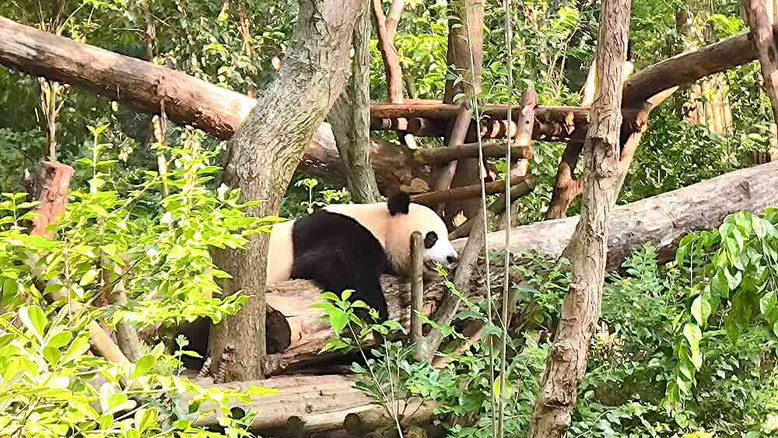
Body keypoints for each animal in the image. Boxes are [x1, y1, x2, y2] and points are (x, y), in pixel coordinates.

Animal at [267, 192, 459, 320]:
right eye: (432, 237)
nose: (452, 258)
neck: (381, 225)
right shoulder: (336, 231)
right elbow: (330, 262)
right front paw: (376, 312)